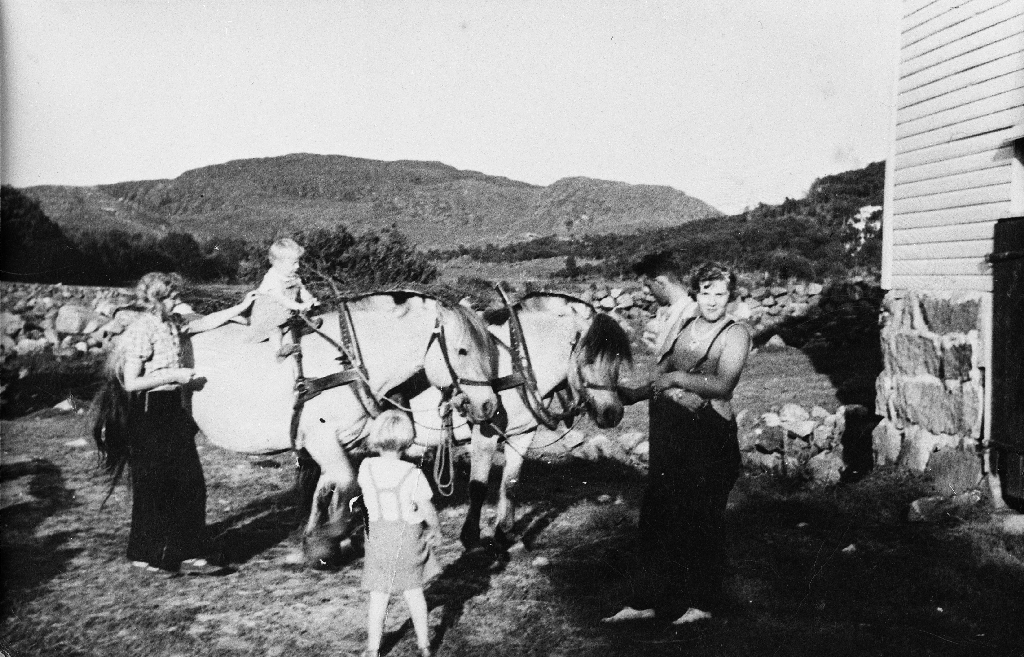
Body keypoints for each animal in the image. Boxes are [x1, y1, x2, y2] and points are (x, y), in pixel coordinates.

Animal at [191, 288, 499, 560]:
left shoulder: (342, 444)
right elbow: (347, 486)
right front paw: (323, 544)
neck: (349, 364)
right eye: (462, 351)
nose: (489, 405)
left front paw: (313, 539)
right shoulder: (320, 440)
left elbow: (328, 491)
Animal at [454, 290, 630, 548]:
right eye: (588, 359)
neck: (515, 364)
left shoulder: (521, 434)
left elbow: (511, 484)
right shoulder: (484, 434)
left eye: (617, 360)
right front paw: (470, 539)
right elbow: (478, 488)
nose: (613, 414)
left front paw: (503, 535)